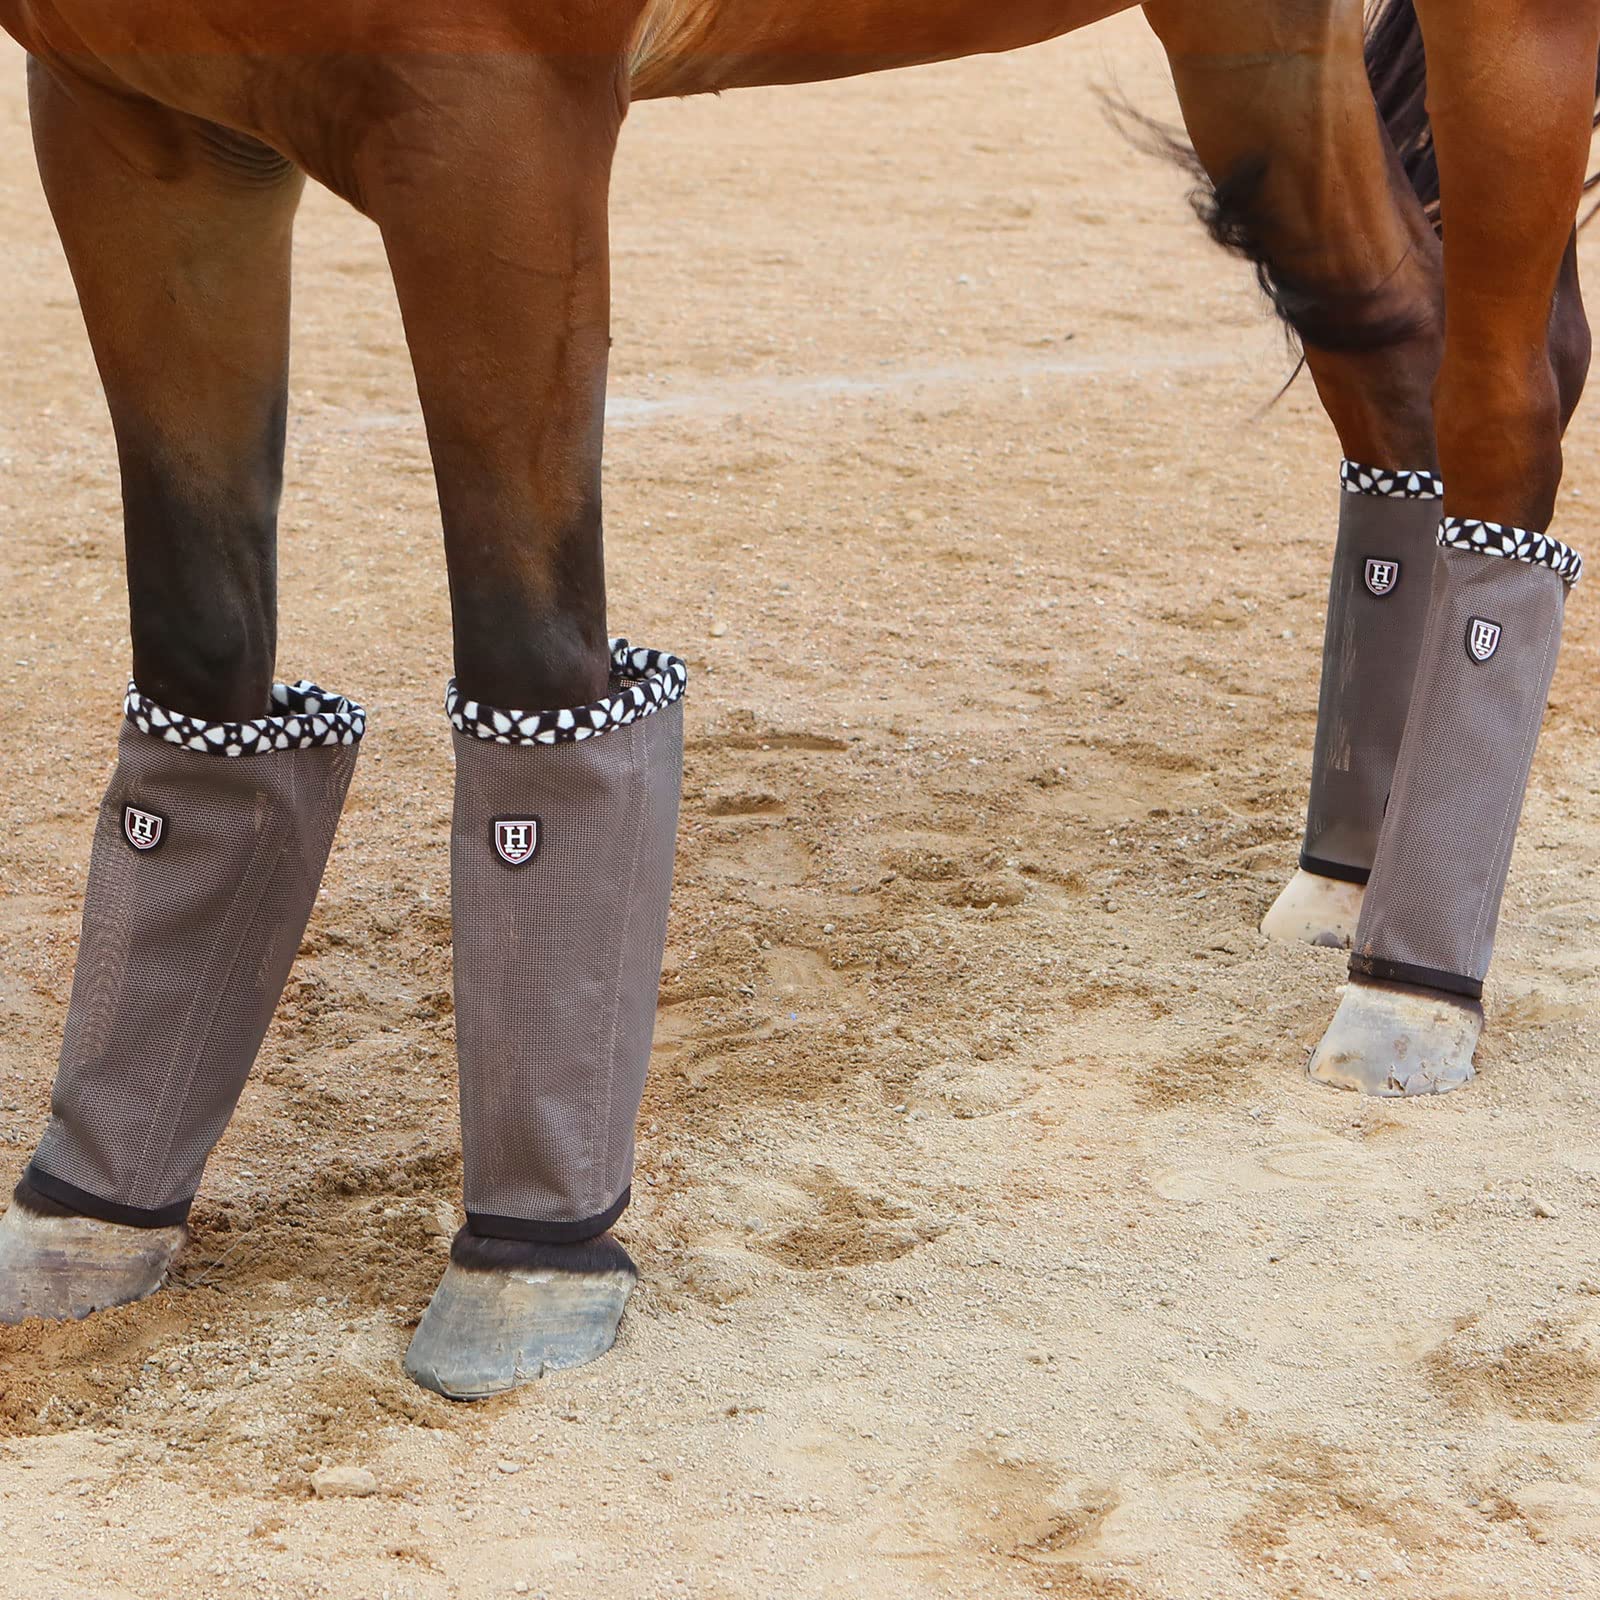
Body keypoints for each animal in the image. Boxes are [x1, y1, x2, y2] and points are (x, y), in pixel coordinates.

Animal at [0, 0, 1594, 1399]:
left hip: (1509, 41)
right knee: (1389, 353)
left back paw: (1414, 989)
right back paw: (1351, 880)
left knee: (1504, 398)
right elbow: (202, 653)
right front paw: (92, 1212)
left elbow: (534, 659)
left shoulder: (496, 131)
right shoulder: (139, 133)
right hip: (1256, 49)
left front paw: (533, 1259)